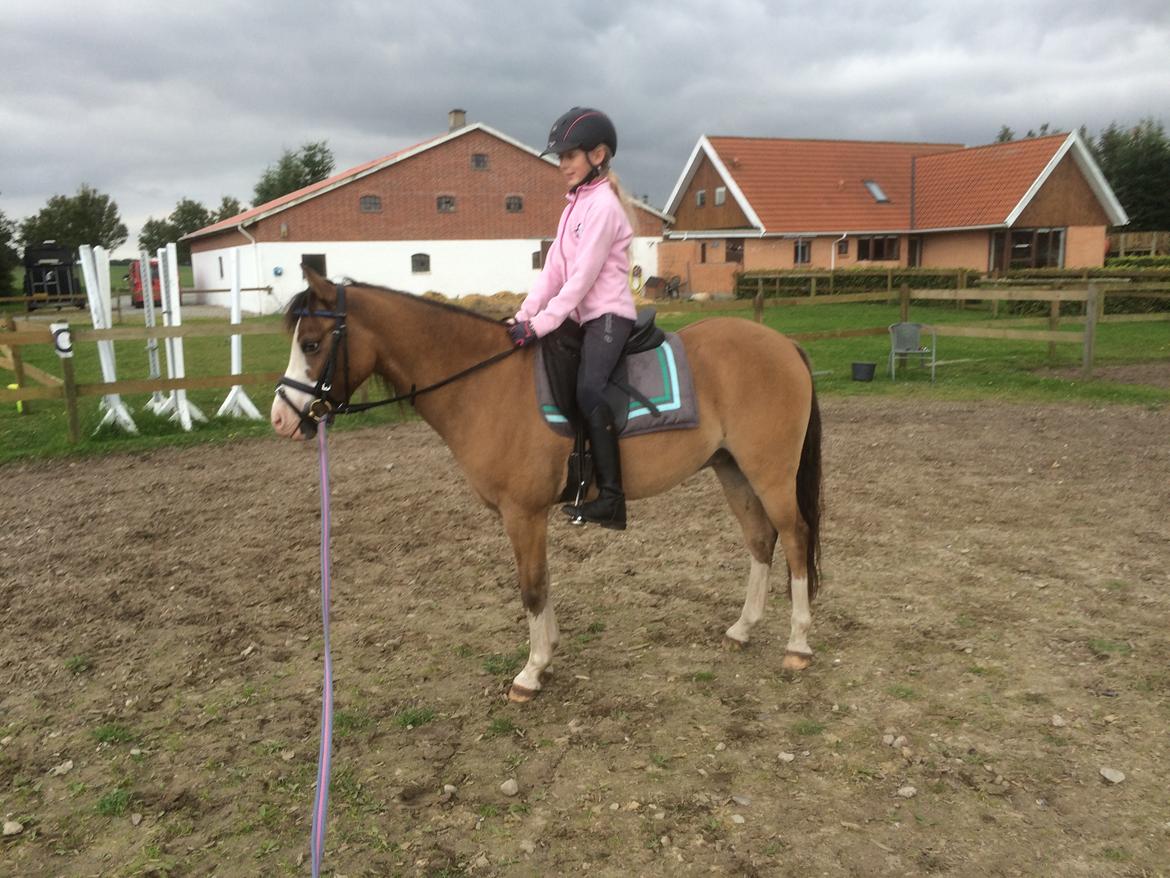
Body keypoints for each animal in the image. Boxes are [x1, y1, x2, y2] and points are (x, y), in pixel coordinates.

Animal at [271, 268, 823, 703]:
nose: (281, 419)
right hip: (732, 469)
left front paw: (531, 672)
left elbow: (532, 587)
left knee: (794, 538)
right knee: (761, 540)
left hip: (769, 472)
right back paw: (742, 629)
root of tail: (783, 344)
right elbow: (543, 582)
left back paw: (798, 643)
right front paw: (549, 653)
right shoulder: (528, 516)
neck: (483, 385)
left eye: (313, 343)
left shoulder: (523, 513)